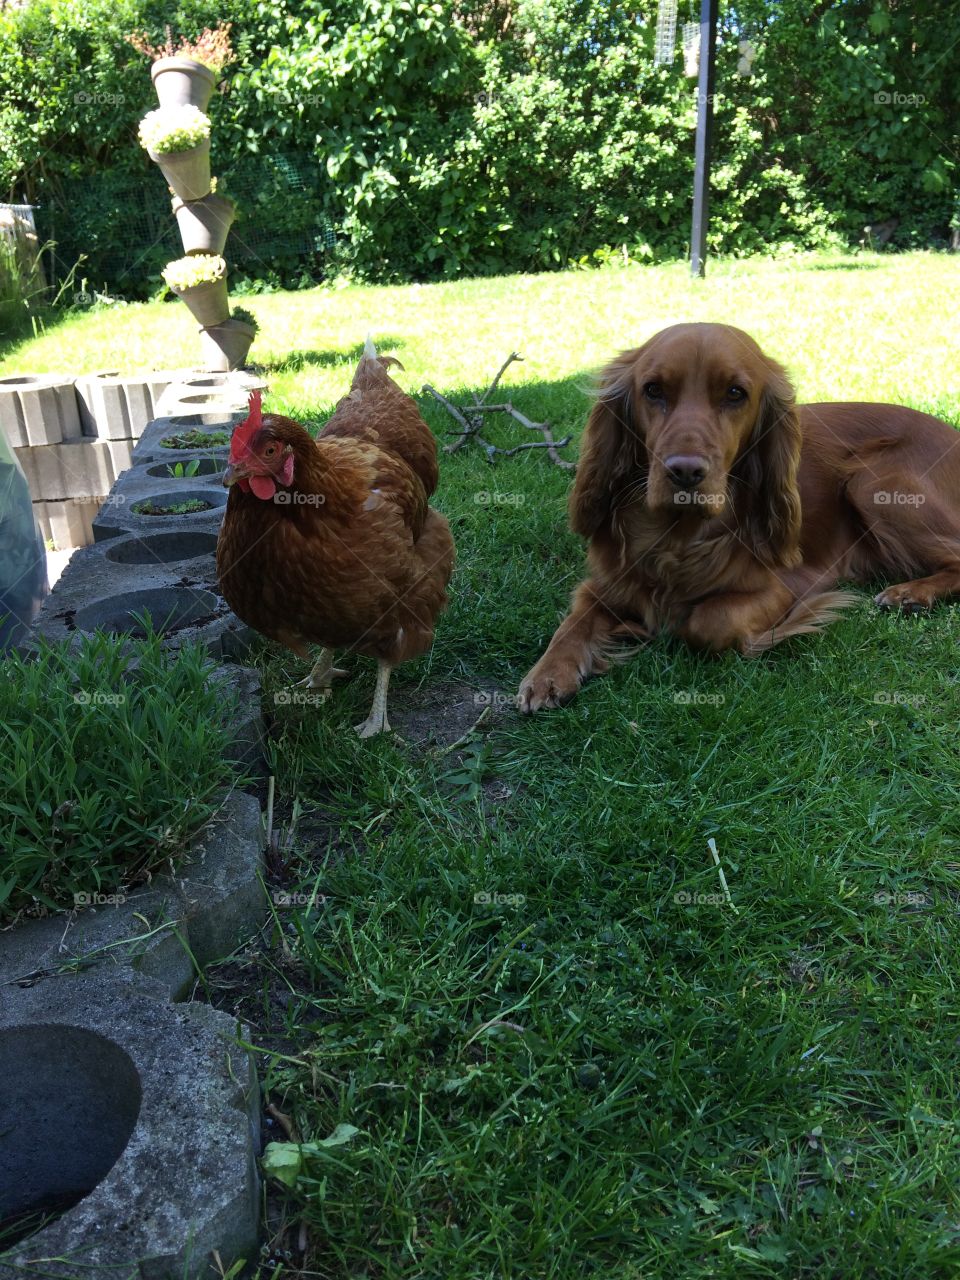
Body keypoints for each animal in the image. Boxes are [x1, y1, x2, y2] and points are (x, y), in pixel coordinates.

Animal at [522, 322, 960, 711]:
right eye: (653, 390)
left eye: (735, 394)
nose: (685, 472)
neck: (678, 538)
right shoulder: (606, 581)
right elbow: (574, 622)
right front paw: (547, 674)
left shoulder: (786, 586)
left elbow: (707, 621)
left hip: (873, 485)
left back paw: (910, 593)